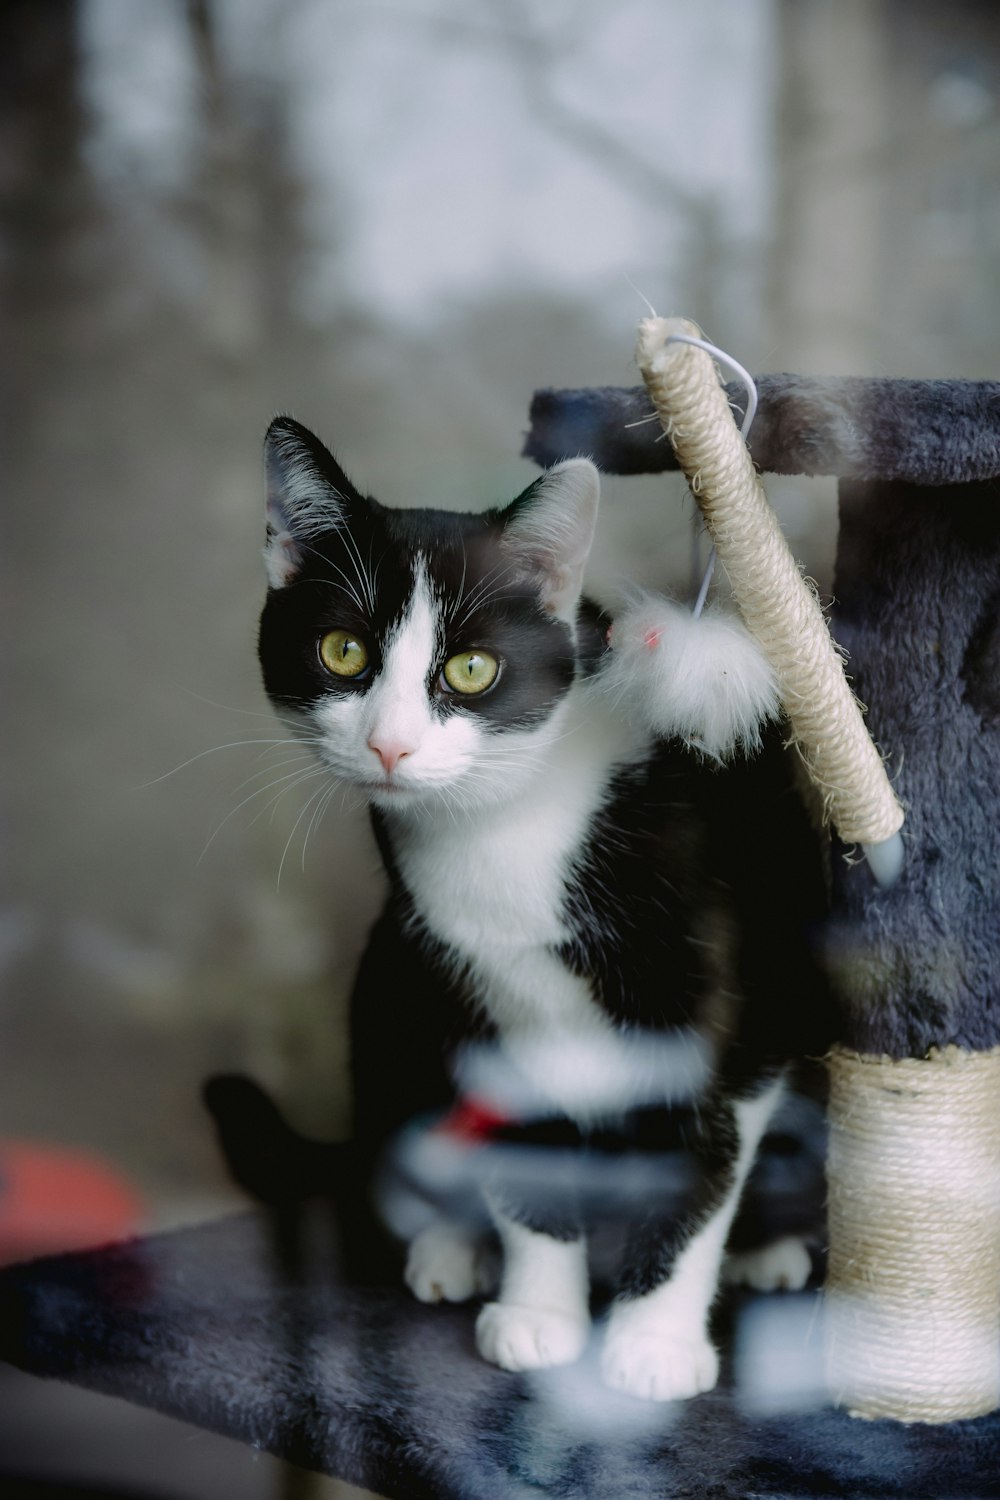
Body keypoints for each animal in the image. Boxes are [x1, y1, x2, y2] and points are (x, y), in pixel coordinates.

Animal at [256, 417, 827, 1398]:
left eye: (472, 668)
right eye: (343, 652)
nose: (391, 746)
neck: (508, 827)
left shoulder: (728, 1008)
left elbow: (707, 1150)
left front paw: (652, 1345)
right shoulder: (458, 977)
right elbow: (519, 1164)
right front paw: (539, 1317)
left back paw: (766, 1250)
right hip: (388, 979)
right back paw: (452, 1247)